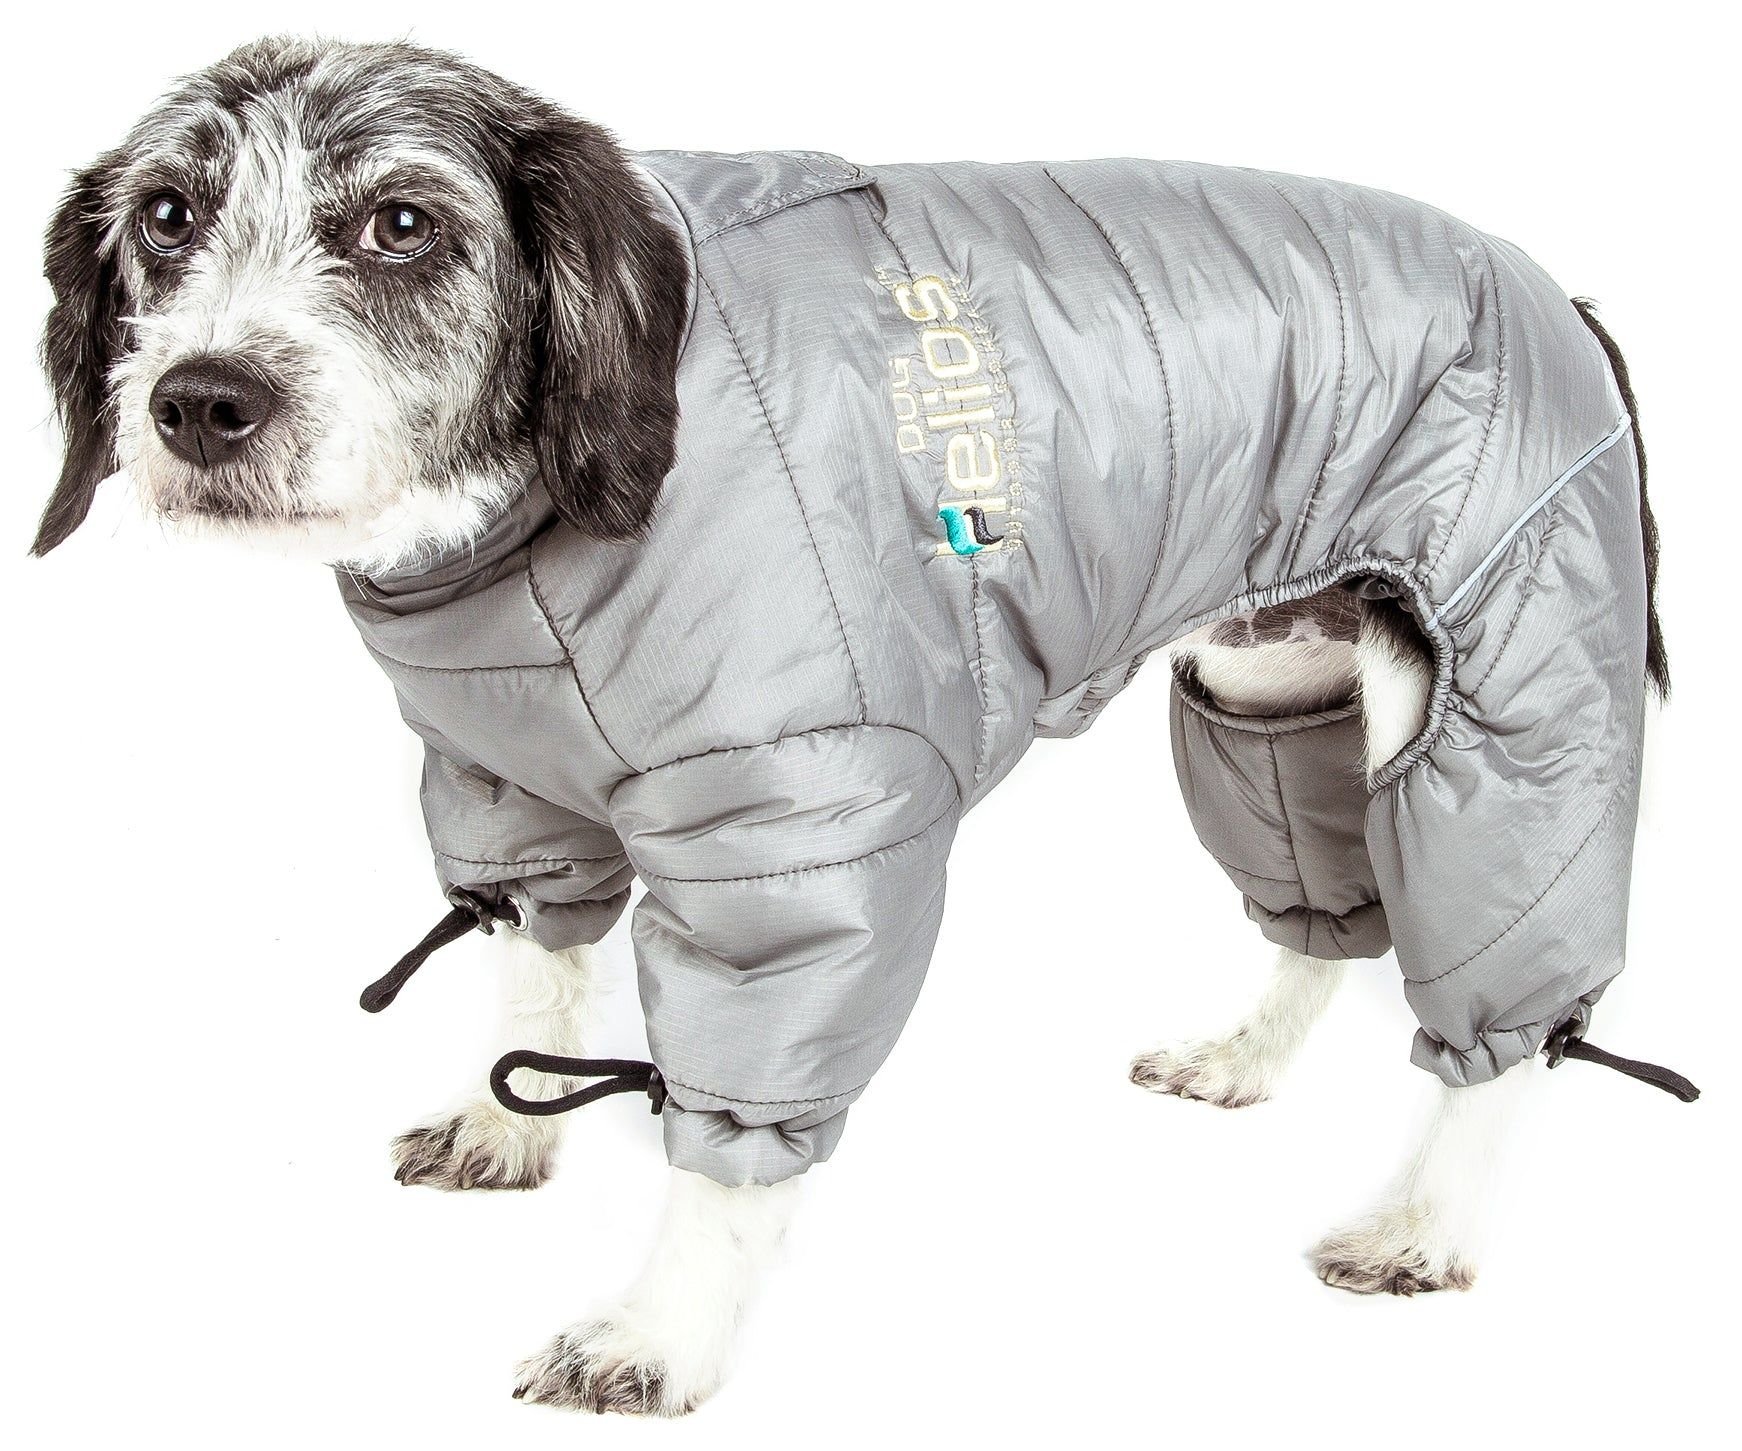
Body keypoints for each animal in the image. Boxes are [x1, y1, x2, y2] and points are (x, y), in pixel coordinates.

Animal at [32, 36, 1680, 1416]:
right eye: (167, 214)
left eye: (399, 224)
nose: (200, 400)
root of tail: (1560, 295)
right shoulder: (510, 786)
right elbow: (533, 970)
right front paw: (512, 1124)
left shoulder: (798, 835)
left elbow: (737, 1115)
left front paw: (658, 1331)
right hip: (1267, 692)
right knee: (1327, 912)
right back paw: (1241, 1056)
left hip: (1498, 703)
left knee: (1507, 1000)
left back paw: (1424, 1219)